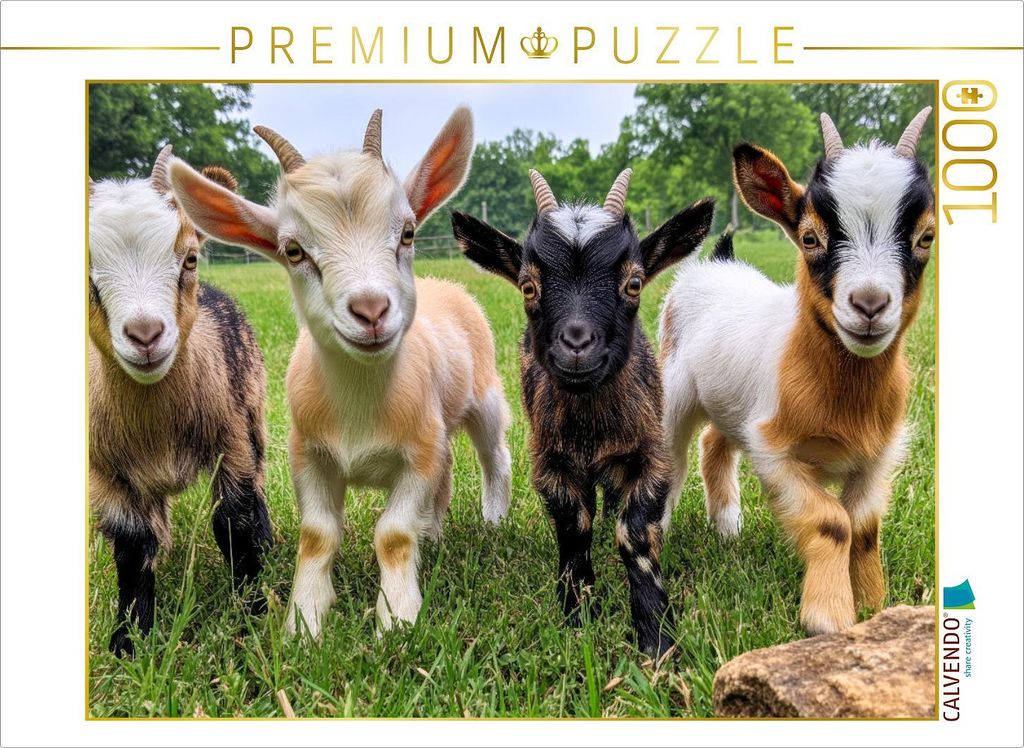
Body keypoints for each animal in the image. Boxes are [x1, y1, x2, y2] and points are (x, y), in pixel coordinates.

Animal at [89, 146, 273, 656]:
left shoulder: (232, 441)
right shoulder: (104, 472)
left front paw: (253, 612)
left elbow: (233, 521)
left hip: (254, 413)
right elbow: (132, 546)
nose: (146, 335)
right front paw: (130, 639)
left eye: (189, 258)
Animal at [169, 108, 513, 639]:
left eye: (407, 232)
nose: (371, 310)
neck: (361, 406)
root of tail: (445, 285)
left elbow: (392, 535)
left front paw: (398, 619)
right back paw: (434, 535)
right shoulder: (308, 454)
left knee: (495, 455)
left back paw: (493, 519)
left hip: (485, 397)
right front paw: (304, 622)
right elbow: (317, 535)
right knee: (449, 469)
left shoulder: (418, 454)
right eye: (293, 250)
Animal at [452, 171, 714, 656]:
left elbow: (634, 534)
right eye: (528, 286)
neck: (592, 429)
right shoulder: (550, 462)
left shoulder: (650, 455)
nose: (576, 344)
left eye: (634, 283)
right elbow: (575, 528)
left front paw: (656, 635)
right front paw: (578, 612)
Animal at [658, 108, 934, 635]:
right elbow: (832, 522)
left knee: (714, 443)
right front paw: (828, 616)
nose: (870, 305)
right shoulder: (774, 450)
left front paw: (872, 605)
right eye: (810, 238)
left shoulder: (877, 454)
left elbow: (863, 527)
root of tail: (719, 261)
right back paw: (655, 533)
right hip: (674, 392)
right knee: (672, 460)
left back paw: (728, 528)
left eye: (925, 237)